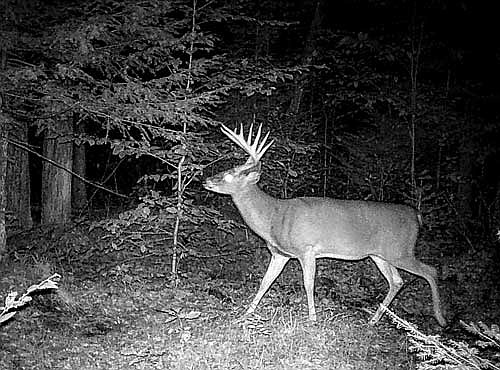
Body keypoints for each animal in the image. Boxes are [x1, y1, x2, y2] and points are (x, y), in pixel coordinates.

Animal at [203, 123, 446, 326]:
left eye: (229, 174)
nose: (206, 180)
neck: (274, 217)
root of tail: (416, 215)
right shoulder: (280, 253)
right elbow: (265, 281)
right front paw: (245, 314)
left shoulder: (306, 249)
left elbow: (308, 283)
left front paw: (312, 318)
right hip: (380, 254)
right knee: (397, 281)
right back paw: (373, 320)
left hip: (400, 250)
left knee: (430, 271)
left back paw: (440, 318)